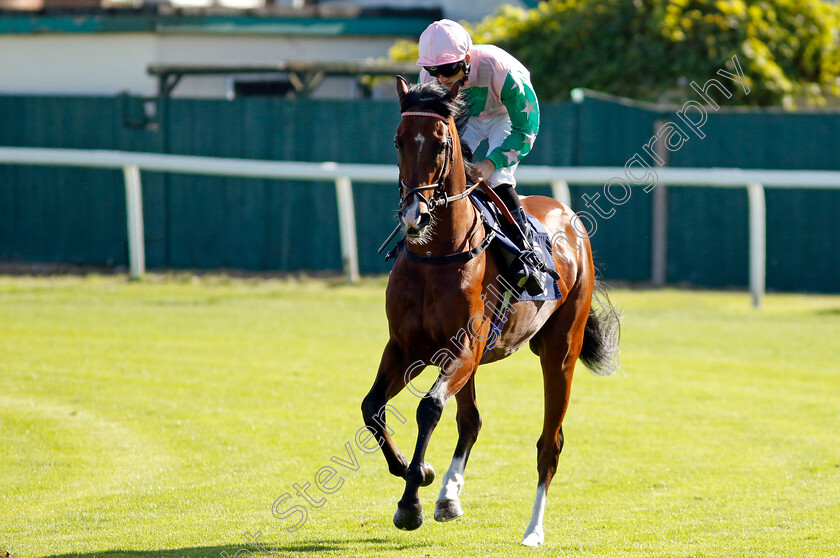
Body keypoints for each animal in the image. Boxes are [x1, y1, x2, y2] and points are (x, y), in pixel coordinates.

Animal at [358, 76, 620, 548]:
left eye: (441, 143)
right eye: (398, 140)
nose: (414, 214)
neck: (437, 254)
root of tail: (567, 213)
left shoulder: (467, 344)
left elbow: (428, 408)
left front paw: (411, 503)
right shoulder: (406, 347)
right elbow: (372, 407)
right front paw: (415, 470)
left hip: (560, 351)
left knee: (549, 443)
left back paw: (533, 529)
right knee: (471, 421)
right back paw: (448, 495)